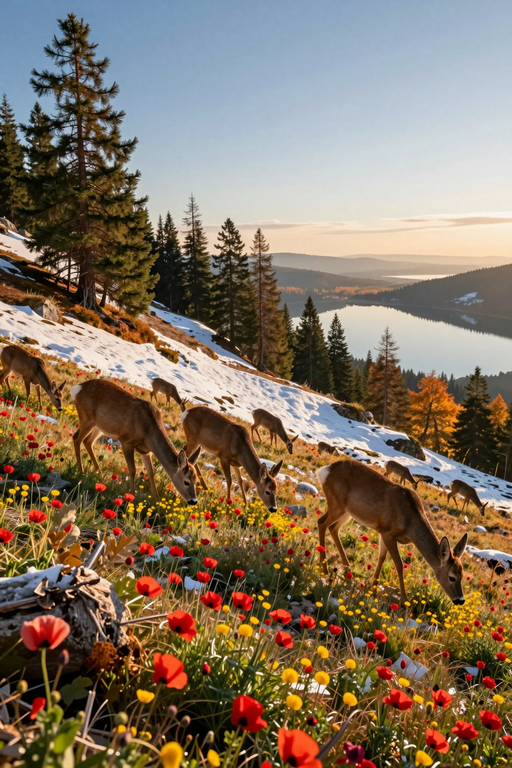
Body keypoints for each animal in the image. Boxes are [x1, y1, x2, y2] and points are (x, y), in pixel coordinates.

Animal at [70, 379, 200, 503]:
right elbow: (132, 470)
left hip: (100, 426)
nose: (193, 501)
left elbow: (151, 472)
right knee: (77, 438)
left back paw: (99, 473)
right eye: (186, 482)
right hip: (87, 418)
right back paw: (81, 471)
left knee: (88, 441)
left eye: (196, 480)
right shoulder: (126, 441)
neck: (148, 432)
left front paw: (156, 498)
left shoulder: (146, 451)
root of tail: (78, 388)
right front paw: (132, 494)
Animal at [316, 459, 468, 605]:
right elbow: (399, 565)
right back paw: (324, 569)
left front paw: (373, 589)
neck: (409, 525)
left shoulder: (383, 532)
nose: (460, 600)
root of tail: (326, 470)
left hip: (348, 512)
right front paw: (404, 600)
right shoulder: (388, 533)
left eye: (462, 575)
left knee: (333, 527)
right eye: (452, 577)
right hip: (337, 504)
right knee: (321, 523)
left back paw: (348, 570)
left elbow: (382, 558)